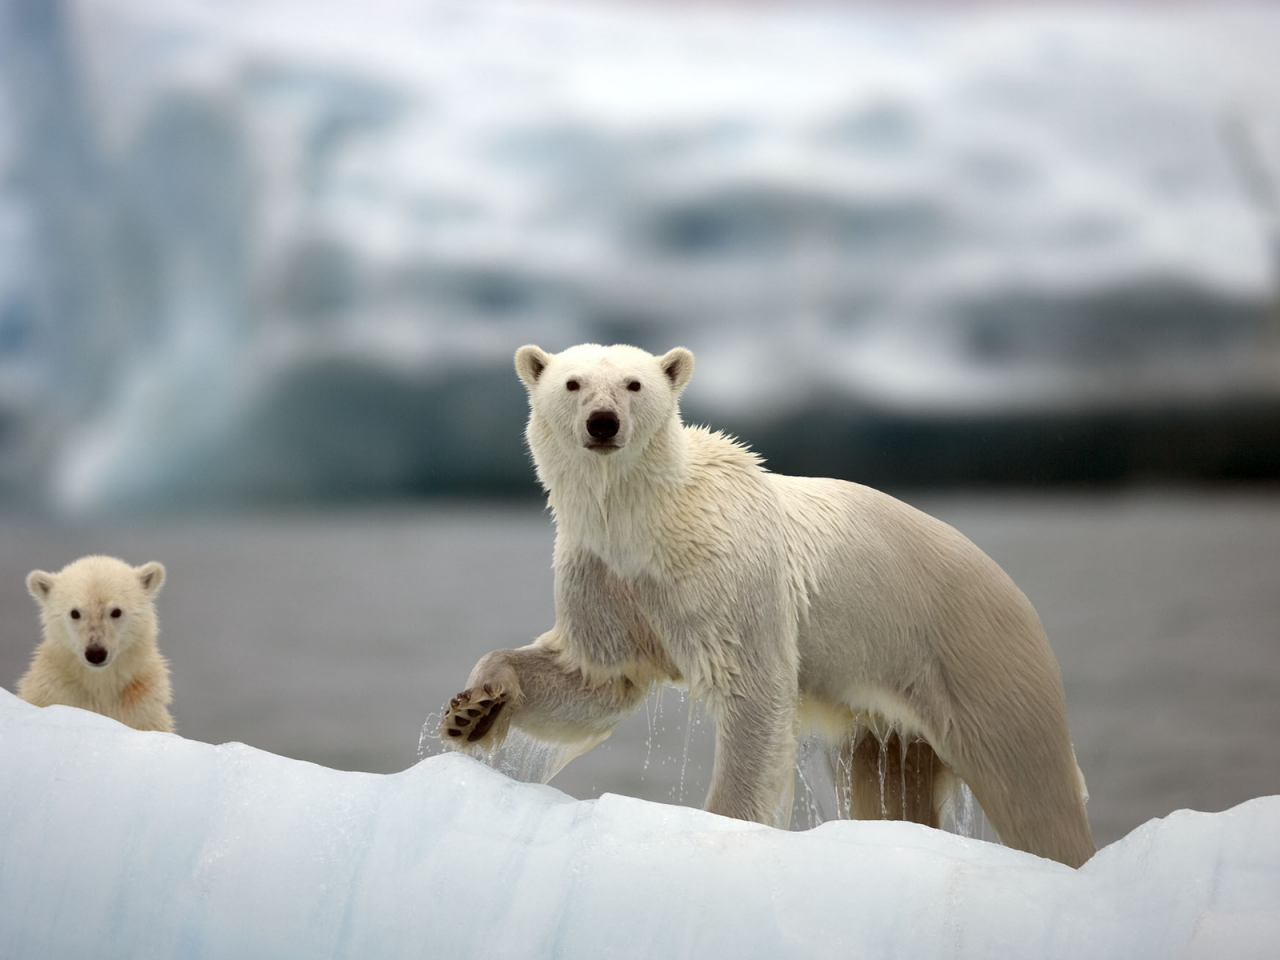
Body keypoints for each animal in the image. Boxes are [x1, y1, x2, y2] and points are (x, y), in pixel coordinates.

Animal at [445, 343, 1095, 870]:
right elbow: (597, 678)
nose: (602, 423)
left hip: (977, 657)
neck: (646, 521)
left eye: (634, 384)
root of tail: (1010, 587)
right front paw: (474, 709)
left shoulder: (726, 572)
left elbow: (751, 691)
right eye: (573, 383)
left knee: (1032, 788)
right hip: (888, 714)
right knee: (889, 786)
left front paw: (721, 827)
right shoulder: (603, 576)